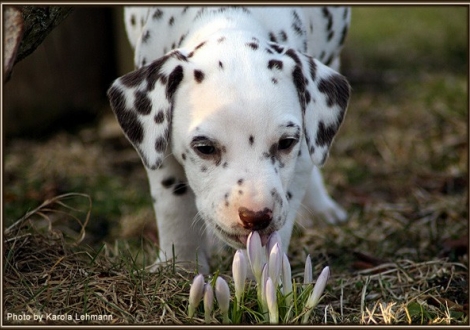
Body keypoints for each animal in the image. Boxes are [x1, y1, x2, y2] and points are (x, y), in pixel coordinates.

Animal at [108, 6, 350, 274]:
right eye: (204, 148)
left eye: (286, 143)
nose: (256, 216)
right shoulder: (157, 144)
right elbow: (173, 205)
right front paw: (179, 266)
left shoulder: (303, 149)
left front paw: (267, 271)